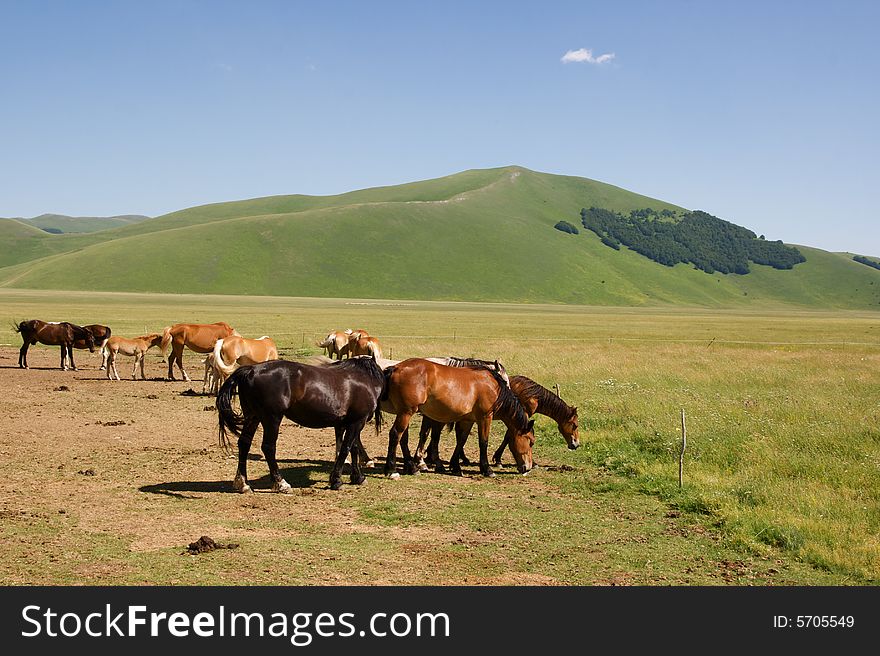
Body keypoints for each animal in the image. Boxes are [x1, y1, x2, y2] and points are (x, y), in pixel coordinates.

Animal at [217, 356, 384, 490]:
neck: (364, 379)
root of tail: (252, 369)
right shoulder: (357, 422)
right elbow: (345, 449)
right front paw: (336, 480)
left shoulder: (352, 422)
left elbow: (353, 448)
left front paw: (358, 478)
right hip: (272, 418)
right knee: (268, 447)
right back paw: (281, 483)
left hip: (253, 417)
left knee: (244, 443)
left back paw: (242, 483)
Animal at [380, 356, 532, 480]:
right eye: (531, 442)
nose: (529, 467)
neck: (493, 387)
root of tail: (396, 367)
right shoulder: (485, 417)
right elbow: (483, 442)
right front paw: (487, 469)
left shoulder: (467, 420)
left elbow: (461, 441)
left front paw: (455, 466)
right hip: (406, 412)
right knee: (395, 434)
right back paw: (392, 470)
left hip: (404, 413)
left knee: (402, 438)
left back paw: (410, 468)